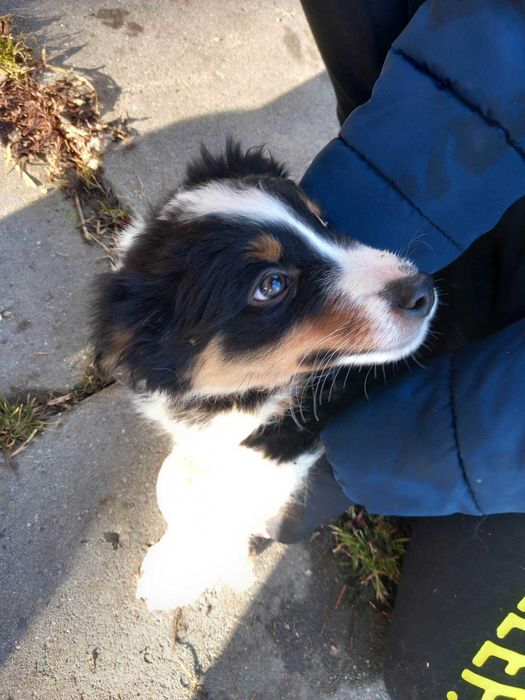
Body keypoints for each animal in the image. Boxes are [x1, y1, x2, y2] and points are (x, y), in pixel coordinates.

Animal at [92, 141, 436, 608]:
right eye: (271, 285)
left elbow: (229, 500)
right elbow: (176, 478)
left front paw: (178, 573)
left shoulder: (288, 438)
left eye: (322, 222)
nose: (423, 291)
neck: (245, 392)